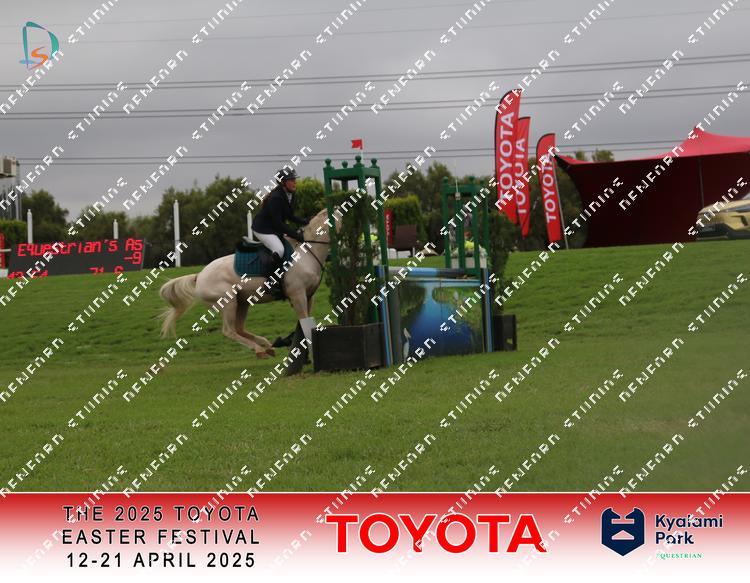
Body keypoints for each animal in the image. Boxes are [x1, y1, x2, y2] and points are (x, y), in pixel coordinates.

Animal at [158, 206, 341, 358]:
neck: (306, 252)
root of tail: (200, 276)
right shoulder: (297, 294)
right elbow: (304, 320)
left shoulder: (309, 295)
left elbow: (305, 321)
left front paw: (290, 342)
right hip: (228, 302)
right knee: (229, 331)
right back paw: (260, 349)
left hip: (242, 302)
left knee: (239, 329)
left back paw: (267, 345)